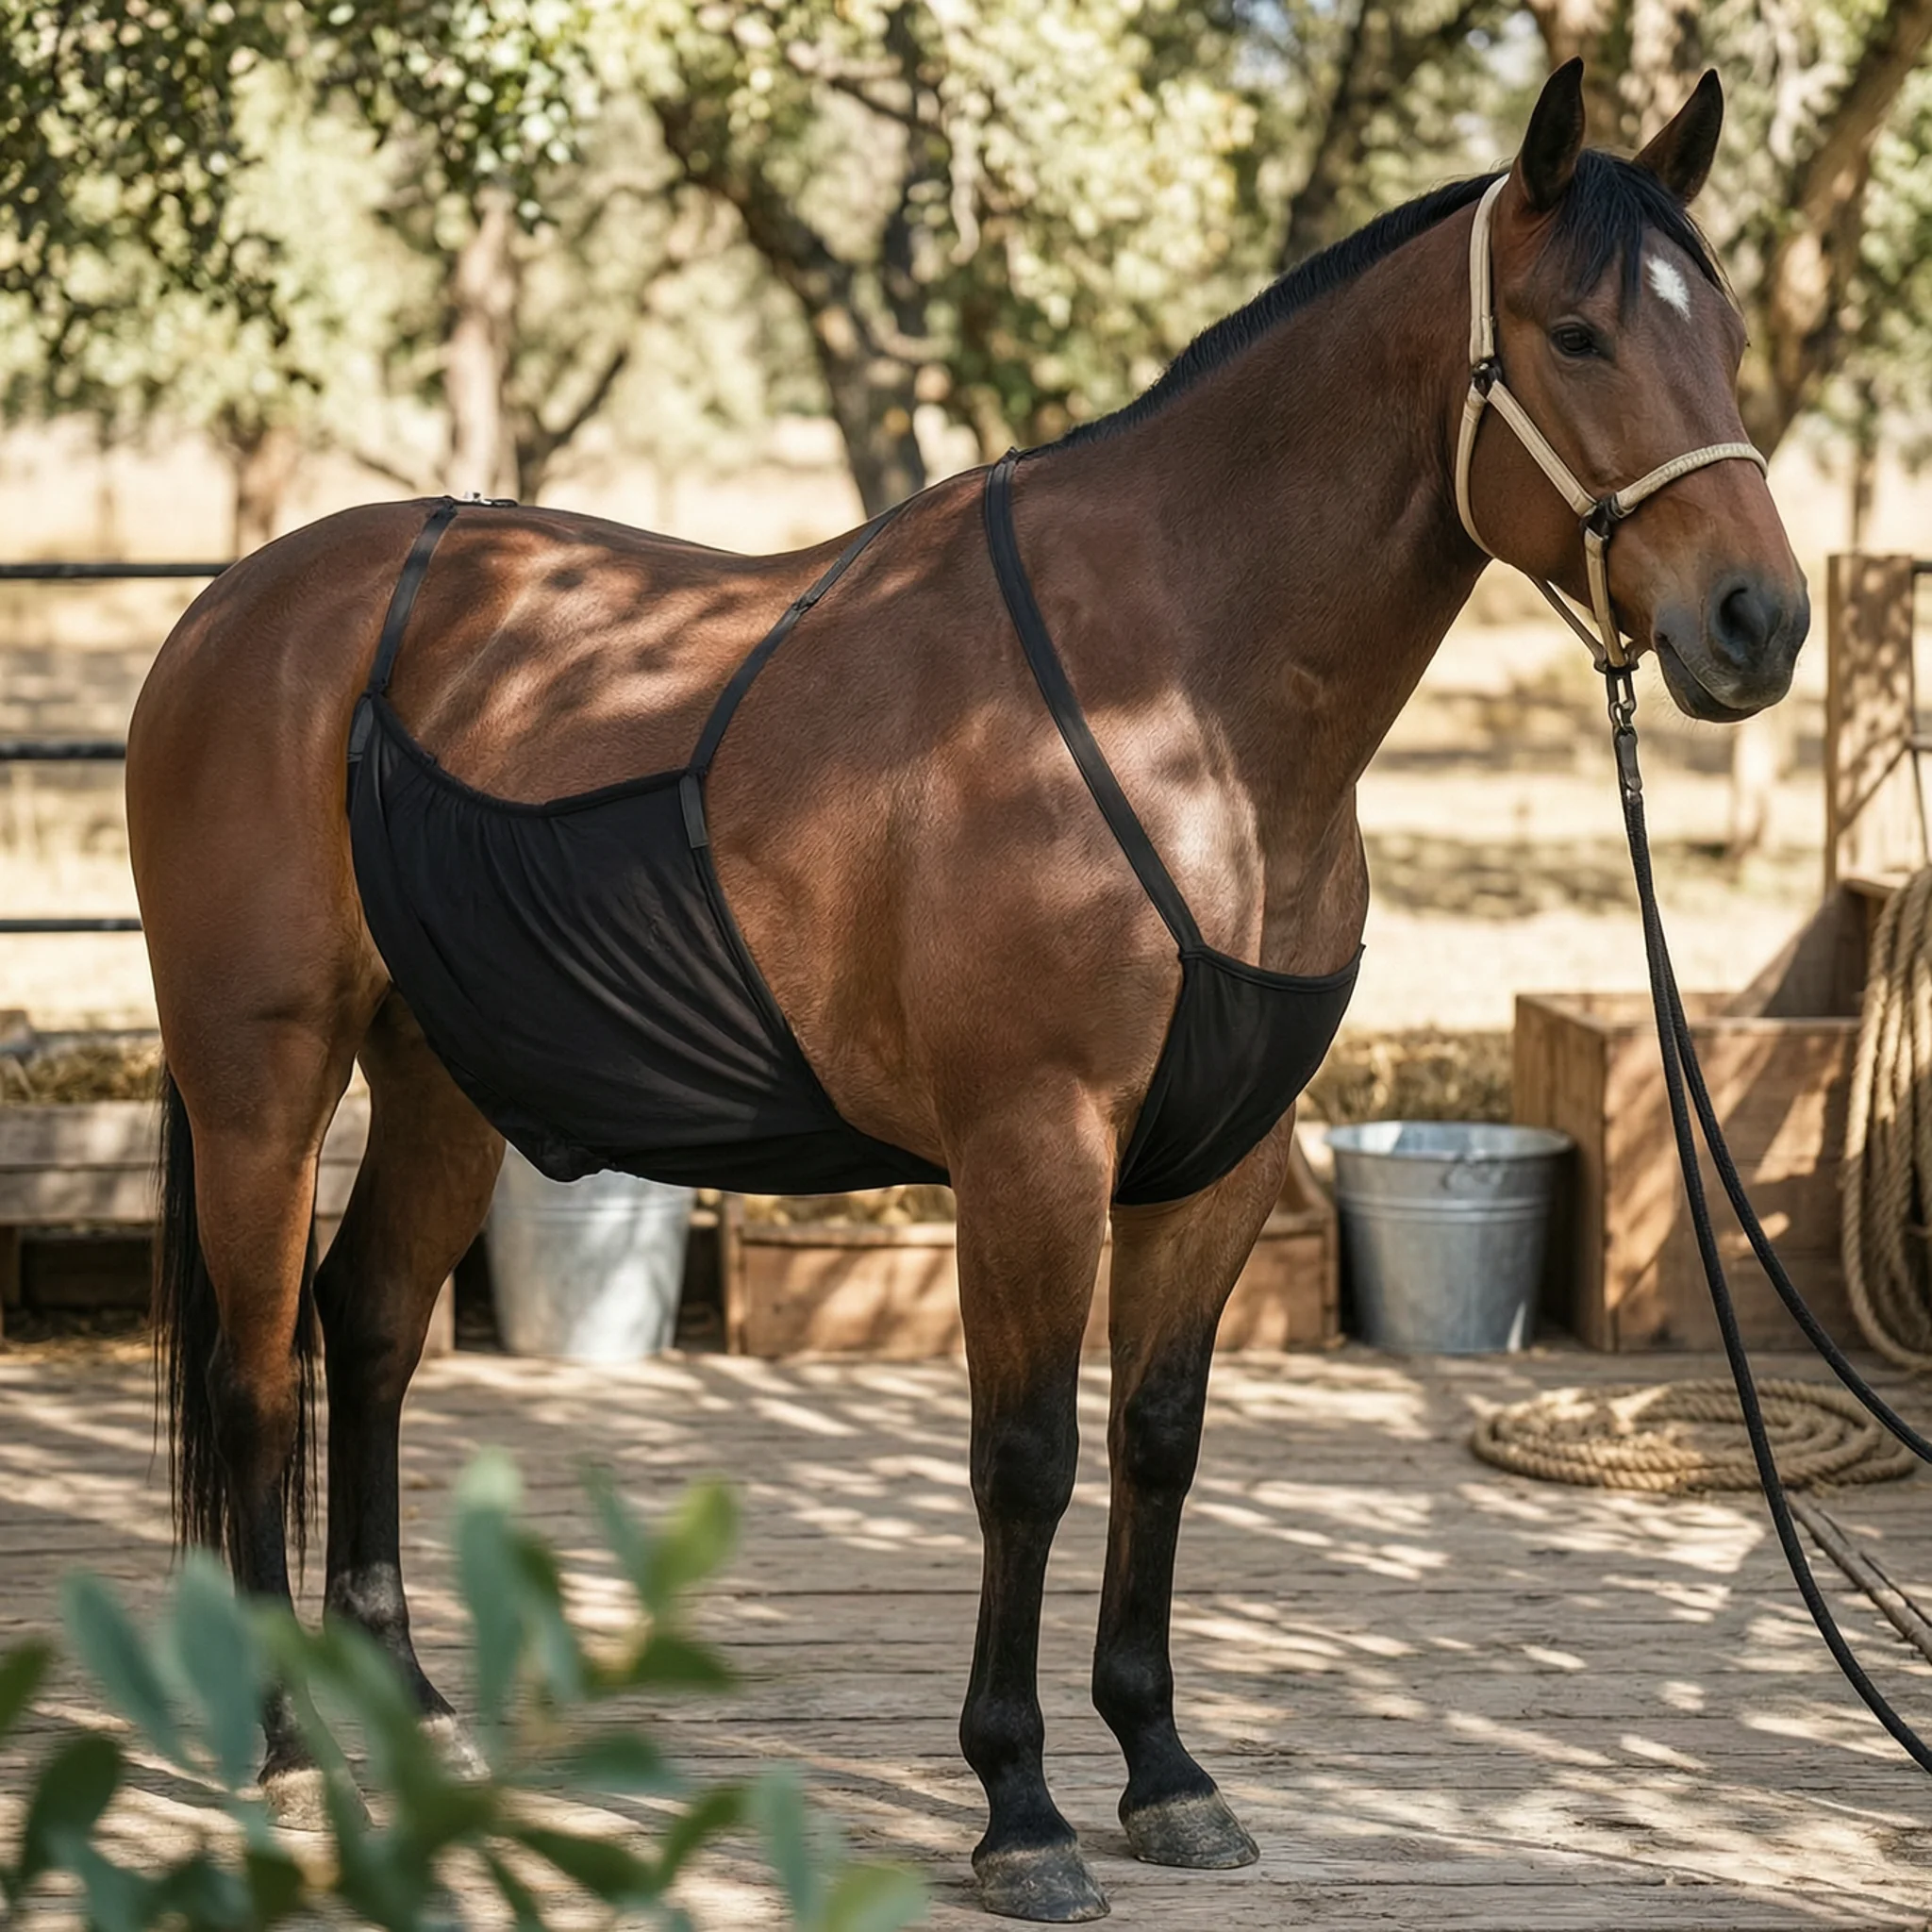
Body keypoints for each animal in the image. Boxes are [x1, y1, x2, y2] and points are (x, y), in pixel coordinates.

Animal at [127, 60, 1806, 1923]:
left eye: (1729, 337)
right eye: (1575, 331)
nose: (1758, 620)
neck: (1180, 697)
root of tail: (235, 611)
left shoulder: (1220, 1164)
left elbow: (1156, 1439)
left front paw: (1165, 1771)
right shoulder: (1030, 1152)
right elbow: (1027, 1460)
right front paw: (1021, 1807)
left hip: (441, 1077)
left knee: (367, 1328)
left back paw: (407, 1705)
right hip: (261, 1079)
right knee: (259, 1370)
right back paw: (290, 1745)